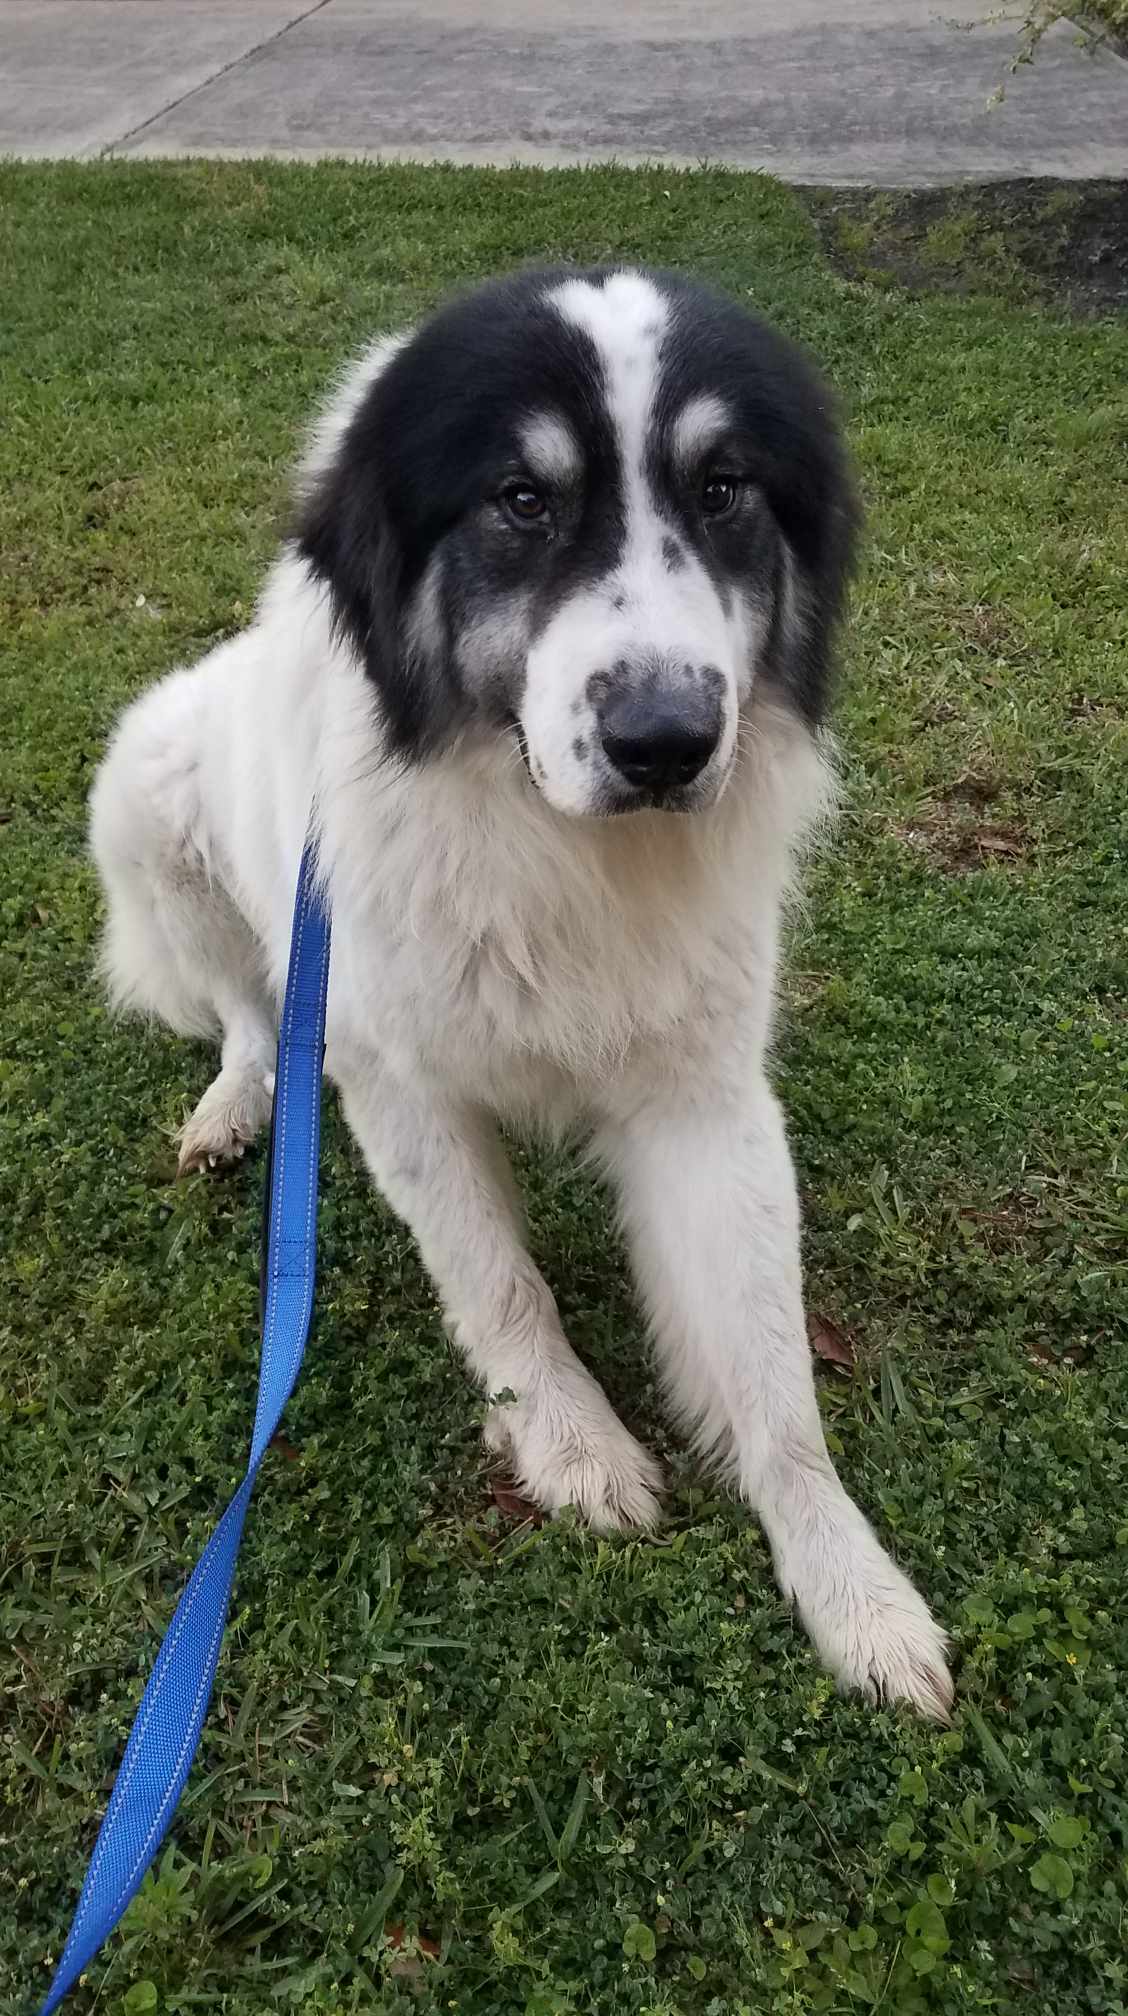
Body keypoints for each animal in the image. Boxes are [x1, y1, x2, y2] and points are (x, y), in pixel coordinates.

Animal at [90, 264, 950, 1717]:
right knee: (254, 1011)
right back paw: (238, 1106)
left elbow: (774, 1378)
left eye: (724, 490)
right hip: (147, 788)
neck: (553, 845)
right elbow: (499, 1285)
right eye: (521, 500)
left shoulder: (707, 1101)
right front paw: (573, 1443)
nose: (665, 745)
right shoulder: (398, 1085)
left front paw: (853, 1587)